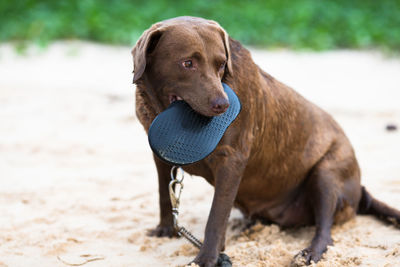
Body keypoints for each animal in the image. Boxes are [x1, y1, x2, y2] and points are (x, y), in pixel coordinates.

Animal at [132, 16, 400, 266]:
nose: (223, 105)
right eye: (187, 63)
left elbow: (216, 216)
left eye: (221, 65)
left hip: (327, 172)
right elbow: (164, 194)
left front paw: (206, 258)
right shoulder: (161, 157)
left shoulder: (231, 160)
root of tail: (361, 192)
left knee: (325, 228)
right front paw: (165, 230)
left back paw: (309, 253)